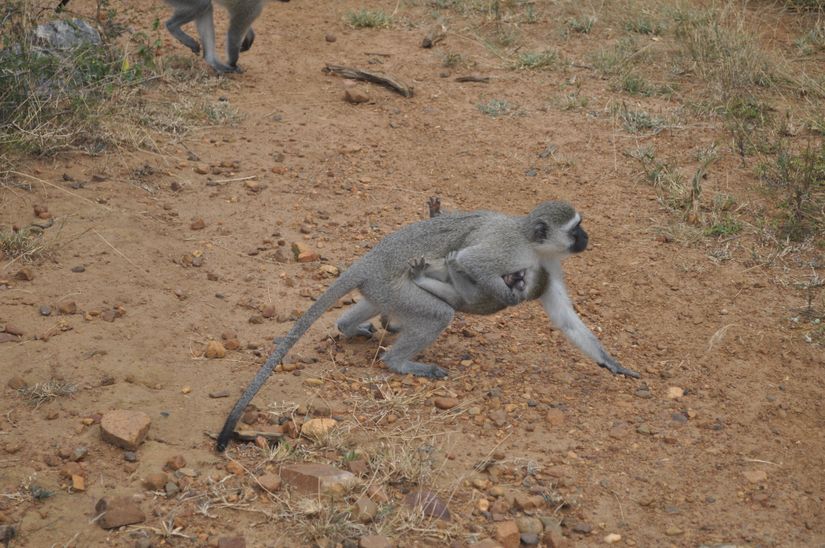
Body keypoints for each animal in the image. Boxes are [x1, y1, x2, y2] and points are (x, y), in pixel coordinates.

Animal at [214, 199, 636, 452]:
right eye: (575, 229)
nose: (587, 238)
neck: (531, 245)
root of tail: (370, 262)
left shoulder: (547, 265)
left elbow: (565, 318)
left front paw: (610, 363)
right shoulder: (505, 251)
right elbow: (470, 263)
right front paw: (491, 289)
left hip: (382, 290)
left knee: (375, 306)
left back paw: (350, 326)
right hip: (397, 287)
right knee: (437, 314)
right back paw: (400, 361)